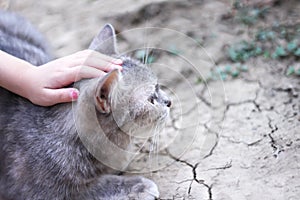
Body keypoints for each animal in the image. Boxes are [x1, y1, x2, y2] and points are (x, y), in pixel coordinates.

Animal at [0, 9, 171, 200]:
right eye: (150, 99)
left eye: (158, 85)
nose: (169, 101)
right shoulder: (38, 191)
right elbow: (99, 186)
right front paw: (138, 185)